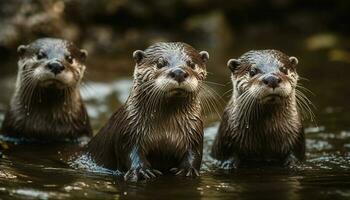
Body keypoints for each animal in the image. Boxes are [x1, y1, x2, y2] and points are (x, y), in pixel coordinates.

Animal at [86, 41, 209, 181]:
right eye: (160, 63)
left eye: (192, 64)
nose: (179, 72)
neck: (166, 133)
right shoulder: (129, 130)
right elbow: (130, 152)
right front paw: (140, 171)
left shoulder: (194, 133)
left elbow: (195, 153)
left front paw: (188, 170)